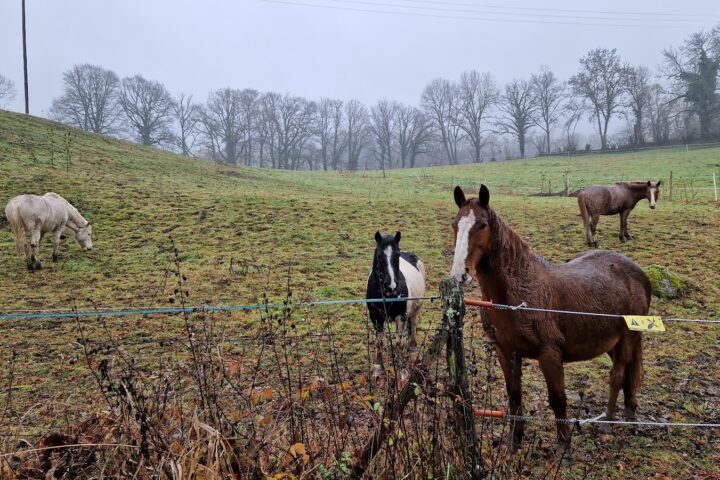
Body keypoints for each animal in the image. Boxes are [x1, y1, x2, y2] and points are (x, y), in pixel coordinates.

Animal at [366, 231, 426, 378]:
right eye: (379, 255)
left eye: (397, 255)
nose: (391, 286)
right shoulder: (375, 317)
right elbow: (379, 342)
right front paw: (378, 368)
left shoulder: (401, 317)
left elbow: (399, 343)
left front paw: (401, 371)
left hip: (416, 309)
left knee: (413, 324)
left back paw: (412, 345)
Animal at [451, 185, 650, 452]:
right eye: (455, 224)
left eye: (482, 225)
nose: (459, 274)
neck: (519, 293)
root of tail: (638, 273)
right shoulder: (506, 352)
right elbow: (514, 397)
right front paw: (514, 441)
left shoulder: (550, 354)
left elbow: (558, 400)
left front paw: (563, 448)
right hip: (612, 342)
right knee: (627, 374)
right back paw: (628, 412)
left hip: (628, 337)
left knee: (617, 375)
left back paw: (608, 422)